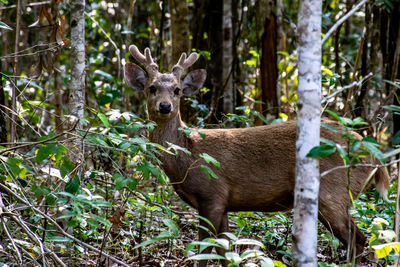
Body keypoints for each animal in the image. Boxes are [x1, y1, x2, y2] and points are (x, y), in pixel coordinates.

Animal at [123, 45, 390, 266]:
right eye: (152, 88)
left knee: (356, 240)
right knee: (361, 240)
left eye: (177, 90)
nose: (165, 106)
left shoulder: (212, 195)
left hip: (333, 192)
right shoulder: (223, 204)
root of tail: (375, 158)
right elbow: (224, 251)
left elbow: (204, 252)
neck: (188, 156)